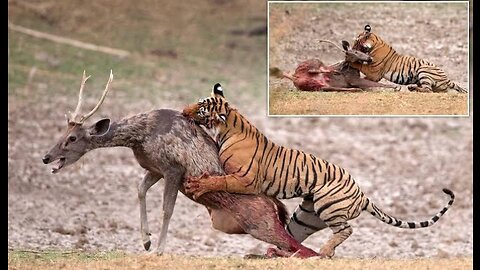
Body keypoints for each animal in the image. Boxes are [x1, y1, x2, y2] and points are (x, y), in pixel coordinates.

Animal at [41, 69, 318, 258]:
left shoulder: (173, 168)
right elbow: (140, 190)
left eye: (72, 138)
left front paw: (159, 248)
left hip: (261, 224)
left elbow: (167, 209)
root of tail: (276, 207)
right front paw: (146, 240)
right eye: (62, 133)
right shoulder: (155, 169)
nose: (46, 157)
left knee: (301, 248)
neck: (140, 137)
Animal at [182, 81, 456, 258]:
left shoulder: (246, 179)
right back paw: (278, 253)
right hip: (305, 216)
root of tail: (362, 194)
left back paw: (324, 252)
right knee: (293, 238)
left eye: (201, 108)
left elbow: (220, 181)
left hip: (328, 205)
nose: (184, 111)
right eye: (197, 102)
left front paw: (198, 185)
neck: (227, 127)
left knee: (346, 229)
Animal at [268, 39, 400, 92]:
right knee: (316, 69)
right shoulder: (353, 79)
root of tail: (296, 78)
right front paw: (395, 87)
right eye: (356, 52)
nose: (370, 58)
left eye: (361, 51)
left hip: (318, 87)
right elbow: (376, 84)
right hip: (315, 63)